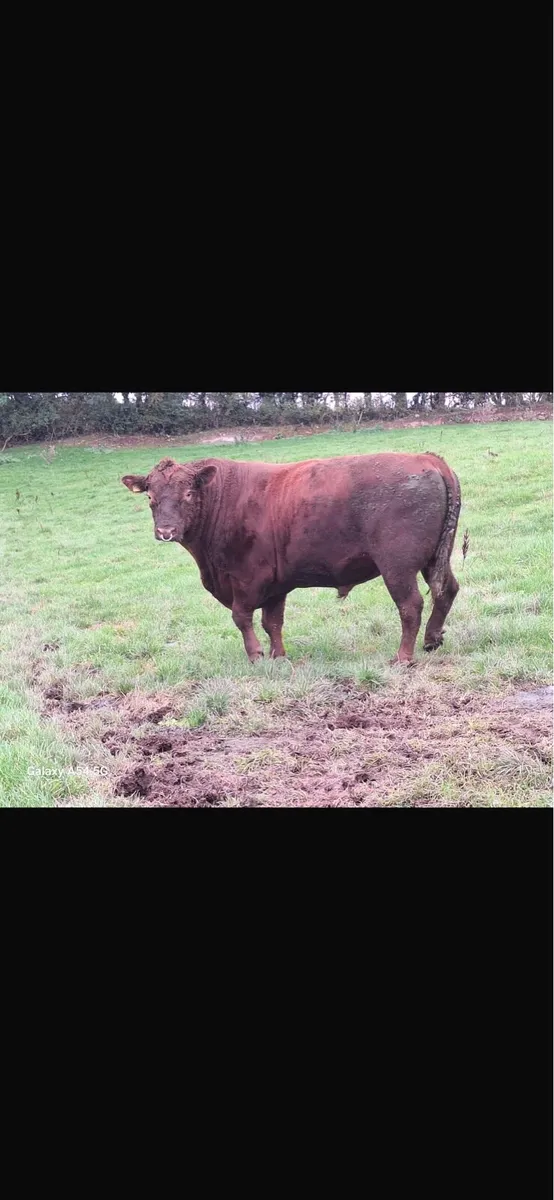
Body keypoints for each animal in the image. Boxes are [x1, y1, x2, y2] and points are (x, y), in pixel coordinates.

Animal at [122, 453, 461, 665]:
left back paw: (403, 656)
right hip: (434, 559)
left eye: (188, 494)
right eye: (151, 497)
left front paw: (256, 655)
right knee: (447, 590)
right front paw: (279, 656)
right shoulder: (275, 583)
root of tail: (426, 459)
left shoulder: (248, 577)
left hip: (397, 566)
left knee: (410, 605)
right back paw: (432, 640)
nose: (165, 531)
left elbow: (242, 617)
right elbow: (272, 621)